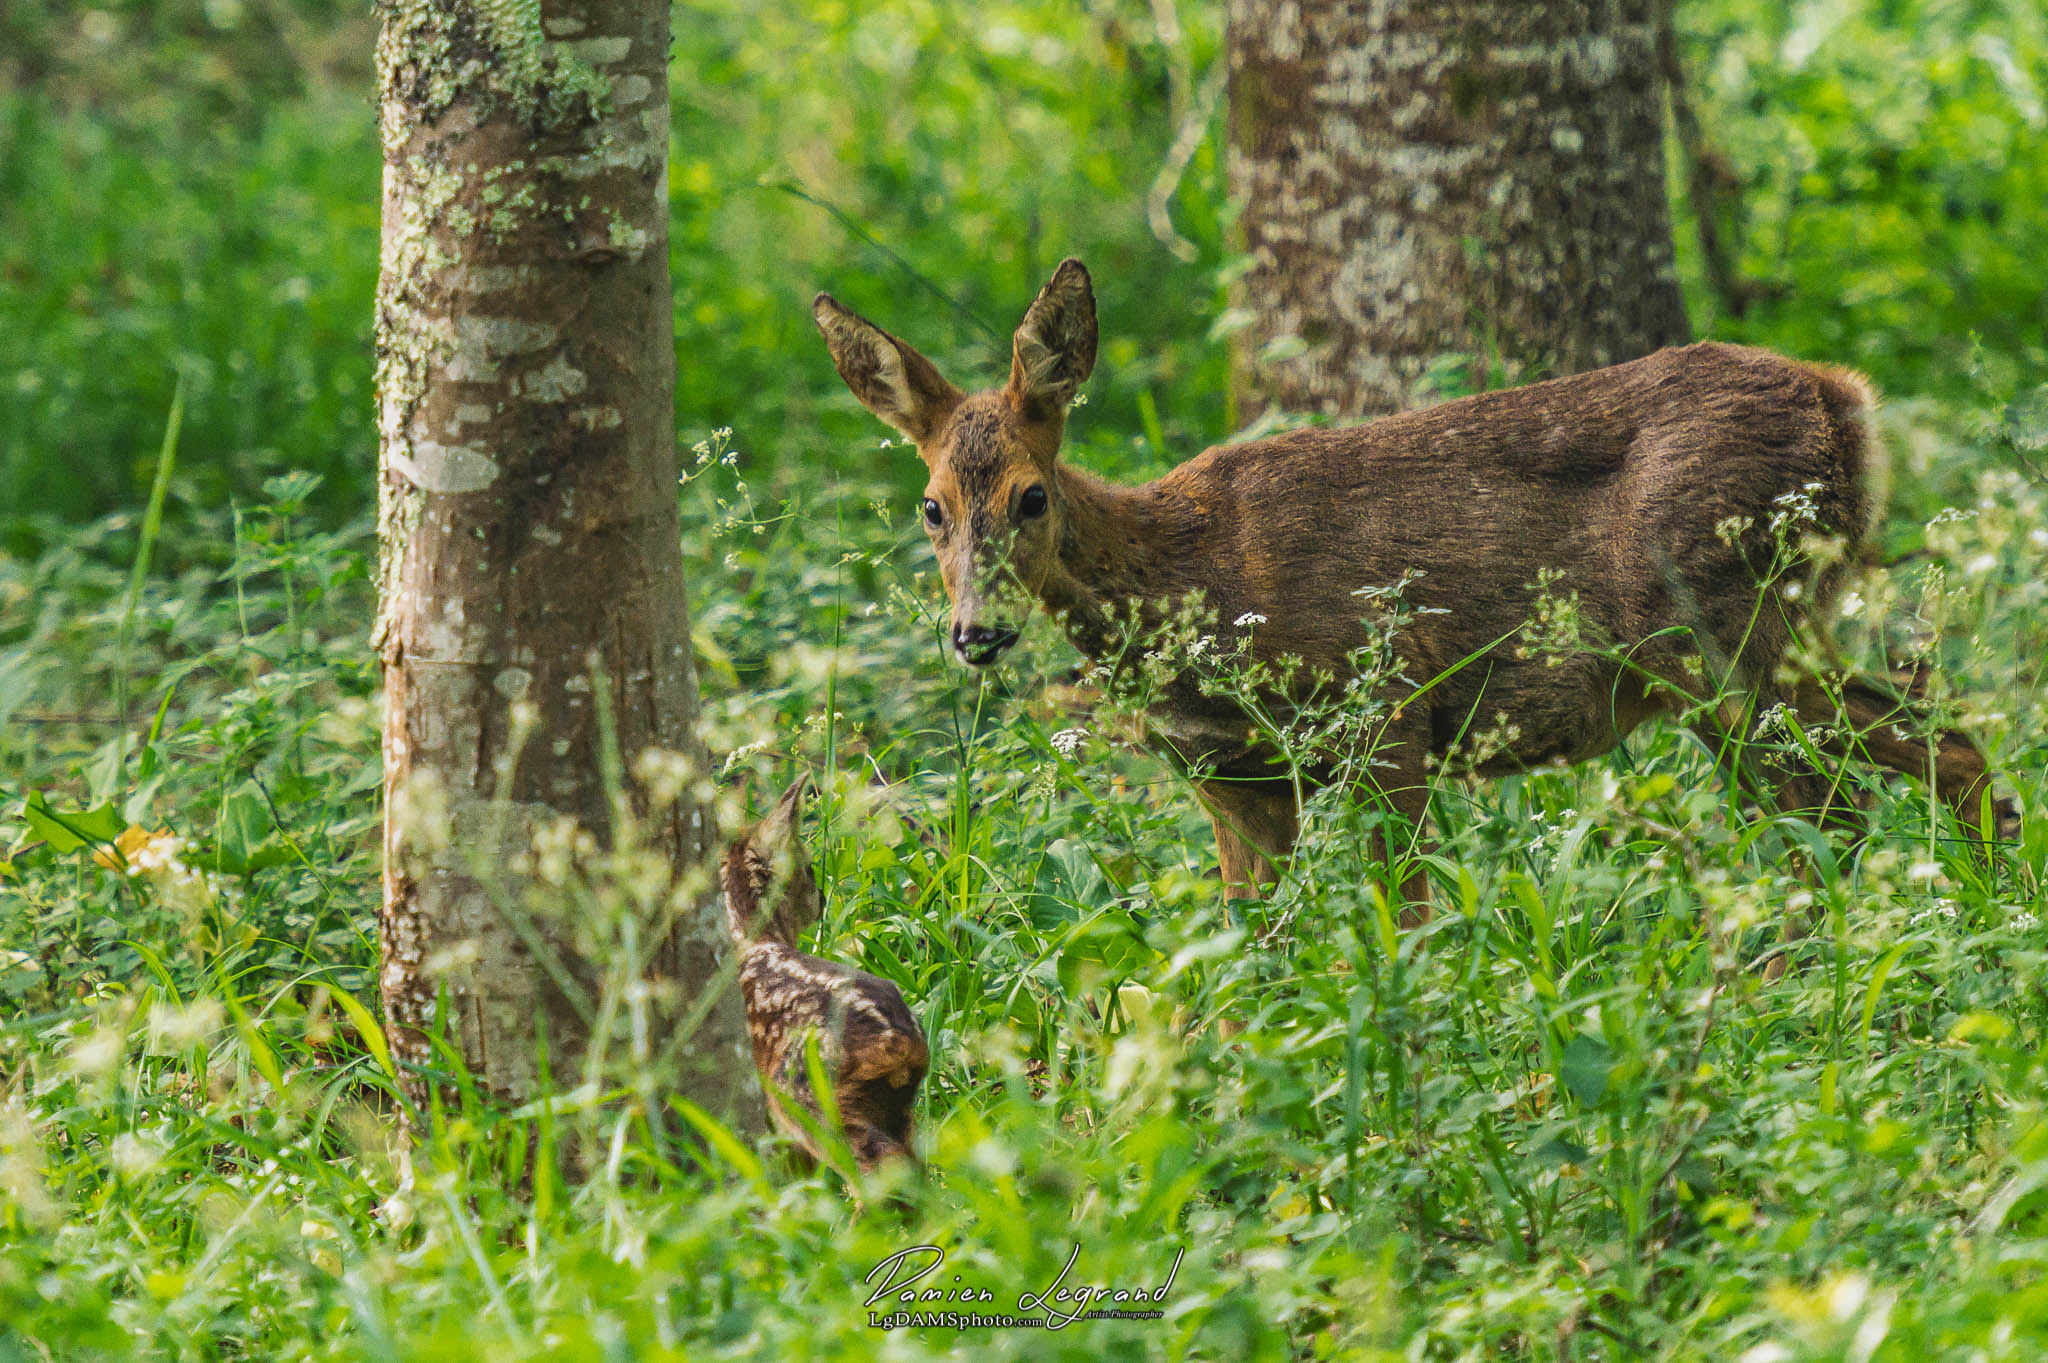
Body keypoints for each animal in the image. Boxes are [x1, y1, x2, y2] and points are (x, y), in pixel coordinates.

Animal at [806, 257, 2007, 912]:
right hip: (1776, 627)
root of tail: (1845, 398)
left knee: (1827, 807)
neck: (1189, 570)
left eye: (1029, 496)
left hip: (1715, 627)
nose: (974, 634)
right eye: (929, 507)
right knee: (1935, 741)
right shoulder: (1232, 778)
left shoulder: (1382, 713)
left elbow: (1408, 920)